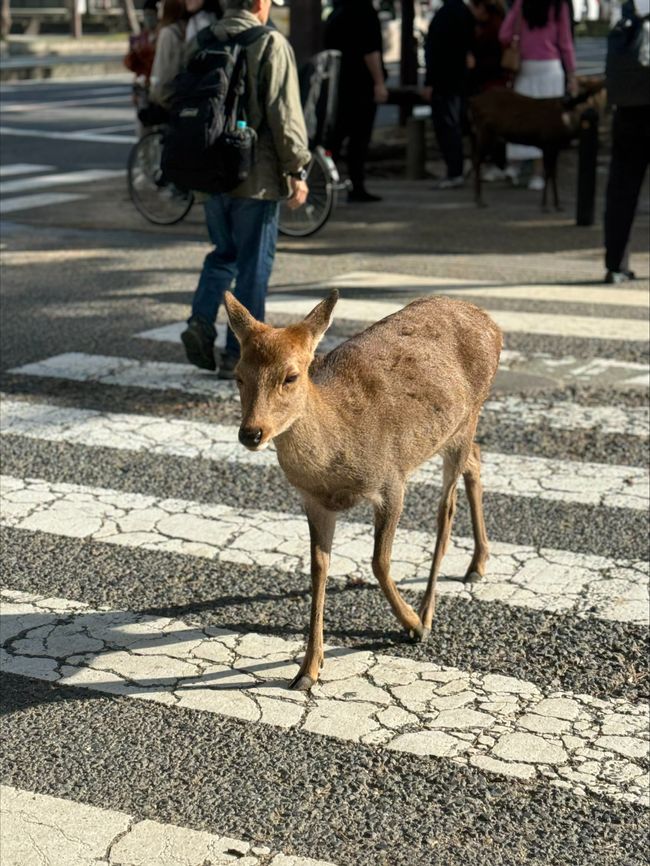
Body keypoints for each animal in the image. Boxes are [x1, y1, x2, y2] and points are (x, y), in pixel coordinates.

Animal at [225, 288, 504, 688]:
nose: (251, 433)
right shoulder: (314, 502)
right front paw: (308, 670)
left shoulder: (391, 480)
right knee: (477, 459)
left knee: (445, 513)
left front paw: (412, 625)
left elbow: (379, 561)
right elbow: (319, 568)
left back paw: (428, 610)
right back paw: (478, 563)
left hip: (469, 417)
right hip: (454, 433)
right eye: (238, 376)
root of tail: (492, 324)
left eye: (290, 376)